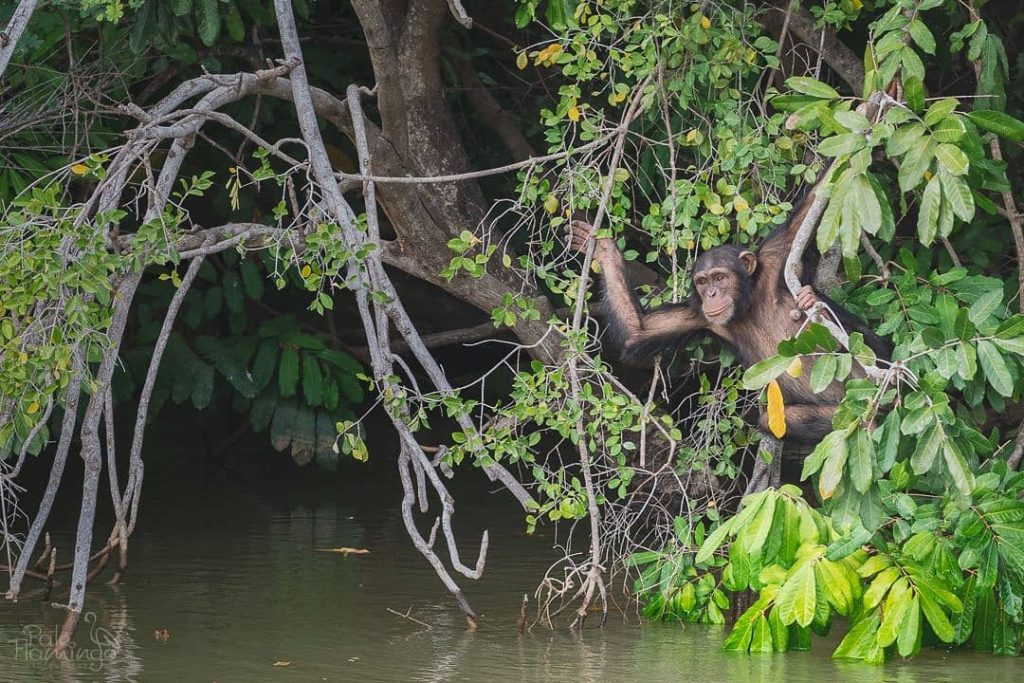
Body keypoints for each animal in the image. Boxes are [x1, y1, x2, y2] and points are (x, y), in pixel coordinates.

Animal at [568, 196, 891, 446]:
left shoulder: (777, 254)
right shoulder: (698, 315)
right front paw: (603, 249)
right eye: (702, 281)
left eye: (720, 277)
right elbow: (638, 331)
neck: (747, 304)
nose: (711, 294)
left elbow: (809, 209)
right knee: (775, 419)